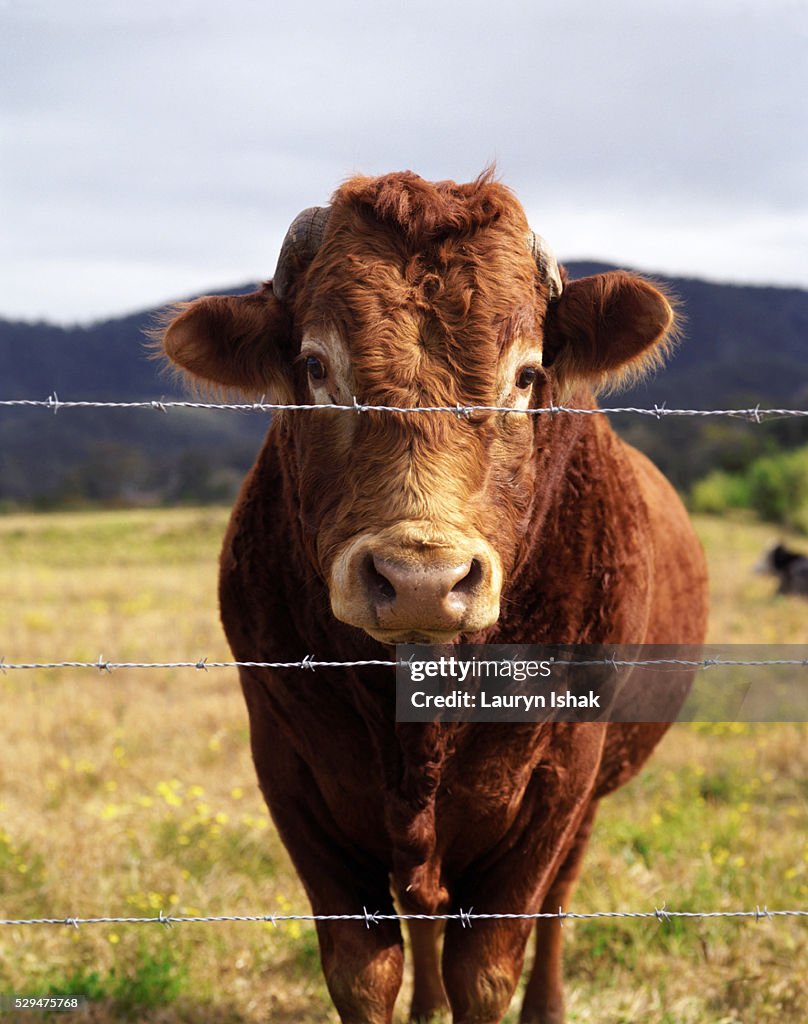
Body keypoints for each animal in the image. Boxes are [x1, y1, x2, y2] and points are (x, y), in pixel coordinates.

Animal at [160, 172, 708, 1024]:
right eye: (316, 366)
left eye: (526, 374)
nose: (421, 579)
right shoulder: (290, 770)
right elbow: (363, 968)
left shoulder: (556, 784)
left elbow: (486, 968)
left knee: (556, 901)